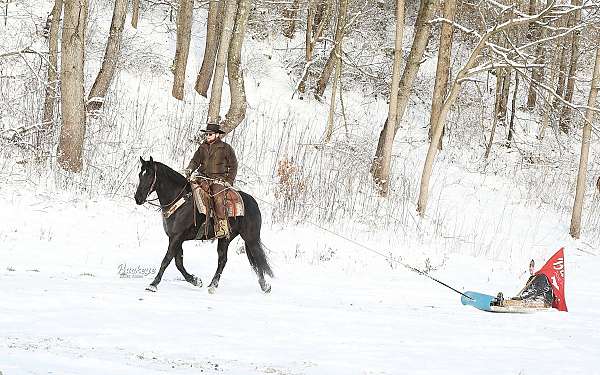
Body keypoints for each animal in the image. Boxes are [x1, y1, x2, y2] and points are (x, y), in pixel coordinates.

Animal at [134, 156, 274, 294]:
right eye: (140, 174)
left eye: (150, 175)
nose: (138, 198)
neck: (180, 199)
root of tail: (253, 203)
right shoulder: (174, 237)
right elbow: (178, 262)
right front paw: (196, 281)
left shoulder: (177, 237)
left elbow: (166, 259)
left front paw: (153, 284)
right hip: (226, 238)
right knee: (223, 260)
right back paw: (213, 285)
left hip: (251, 238)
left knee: (256, 258)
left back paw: (265, 286)